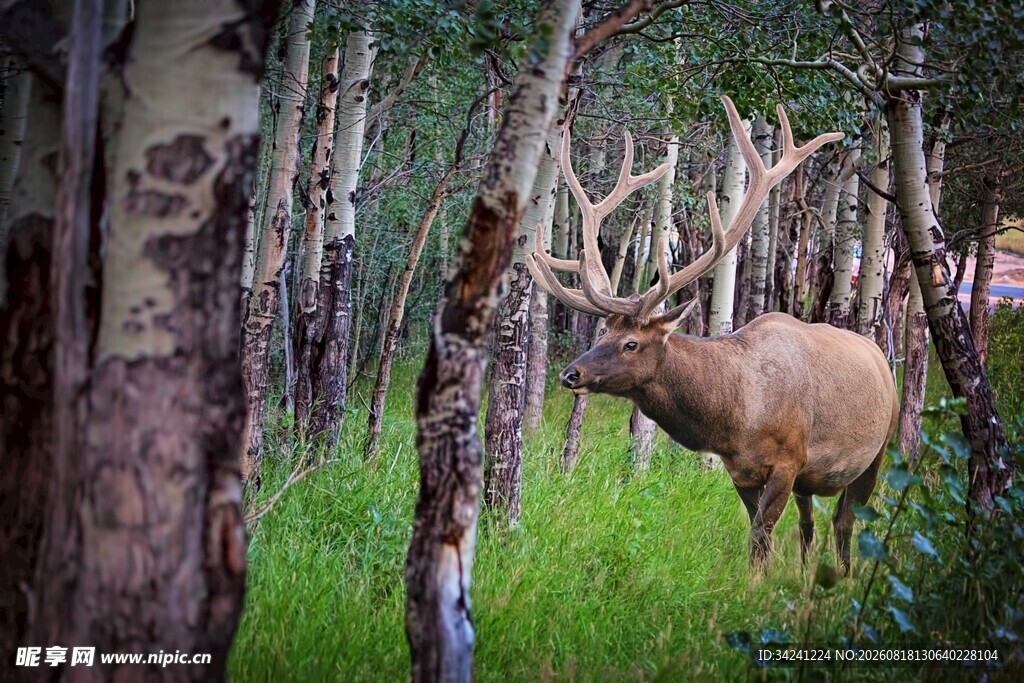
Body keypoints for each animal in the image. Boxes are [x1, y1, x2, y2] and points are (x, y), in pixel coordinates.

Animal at [527, 97, 899, 573]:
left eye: (631, 343)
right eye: (603, 332)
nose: (571, 374)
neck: (736, 418)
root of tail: (880, 357)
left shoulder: (789, 459)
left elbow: (760, 536)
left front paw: (755, 586)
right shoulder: (741, 470)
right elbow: (760, 536)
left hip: (877, 450)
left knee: (845, 523)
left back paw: (843, 578)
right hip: (812, 480)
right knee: (809, 525)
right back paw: (805, 576)